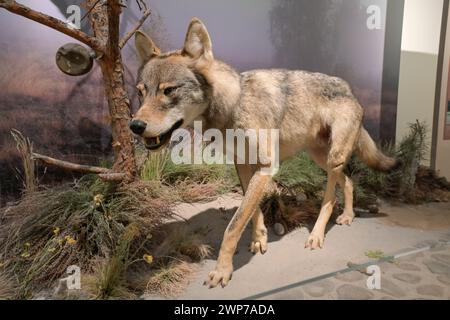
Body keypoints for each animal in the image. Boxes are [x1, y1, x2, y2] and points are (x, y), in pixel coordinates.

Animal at [129, 18, 398, 288]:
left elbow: (233, 225)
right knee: (349, 181)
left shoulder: (267, 166)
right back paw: (348, 216)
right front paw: (259, 239)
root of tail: (350, 89)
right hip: (322, 158)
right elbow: (251, 211)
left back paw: (317, 235)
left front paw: (222, 270)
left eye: (168, 90)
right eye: (140, 92)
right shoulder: (244, 165)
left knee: (330, 199)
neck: (234, 105)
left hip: (332, 159)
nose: (135, 126)